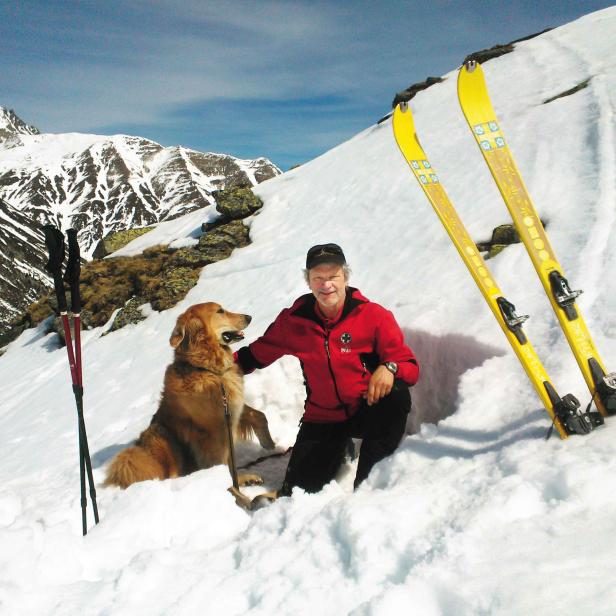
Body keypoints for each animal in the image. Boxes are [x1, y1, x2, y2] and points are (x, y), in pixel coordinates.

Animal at [104, 300, 274, 502]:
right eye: (220, 311)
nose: (249, 317)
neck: (206, 370)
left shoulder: (231, 410)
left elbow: (258, 415)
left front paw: (268, 442)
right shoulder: (214, 434)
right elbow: (222, 466)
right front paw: (238, 495)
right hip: (161, 442)